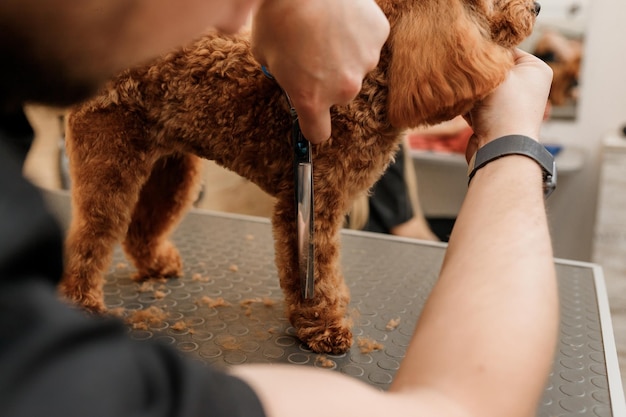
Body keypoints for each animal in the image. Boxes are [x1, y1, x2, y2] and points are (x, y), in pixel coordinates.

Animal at [63, 0, 540, 352]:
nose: (535, 6)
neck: (372, 79)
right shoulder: (313, 200)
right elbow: (315, 273)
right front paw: (322, 327)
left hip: (171, 167)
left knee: (142, 226)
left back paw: (156, 265)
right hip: (110, 157)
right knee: (91, 236)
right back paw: (80, 301)